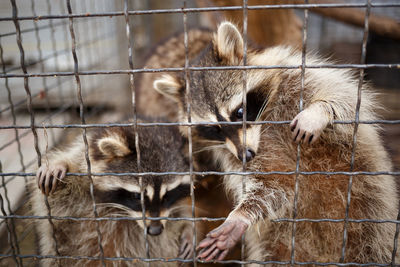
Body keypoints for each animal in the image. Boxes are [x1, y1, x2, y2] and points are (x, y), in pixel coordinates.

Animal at [30, 122, 195, 267]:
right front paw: (60, 164)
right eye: (137, 196)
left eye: (168, 195)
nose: (155, 231)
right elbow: (47, 206)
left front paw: (188, 229)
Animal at [152, 22, 398, 266]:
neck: (264, 124)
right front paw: (240, 216)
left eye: (239, 112)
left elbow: (344, 99)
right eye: (214, 129)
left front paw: (318, 112)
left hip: (370, 216)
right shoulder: (235, 153)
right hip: (279, 242)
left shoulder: (297, 79)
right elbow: (272, 183)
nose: (245, 156)